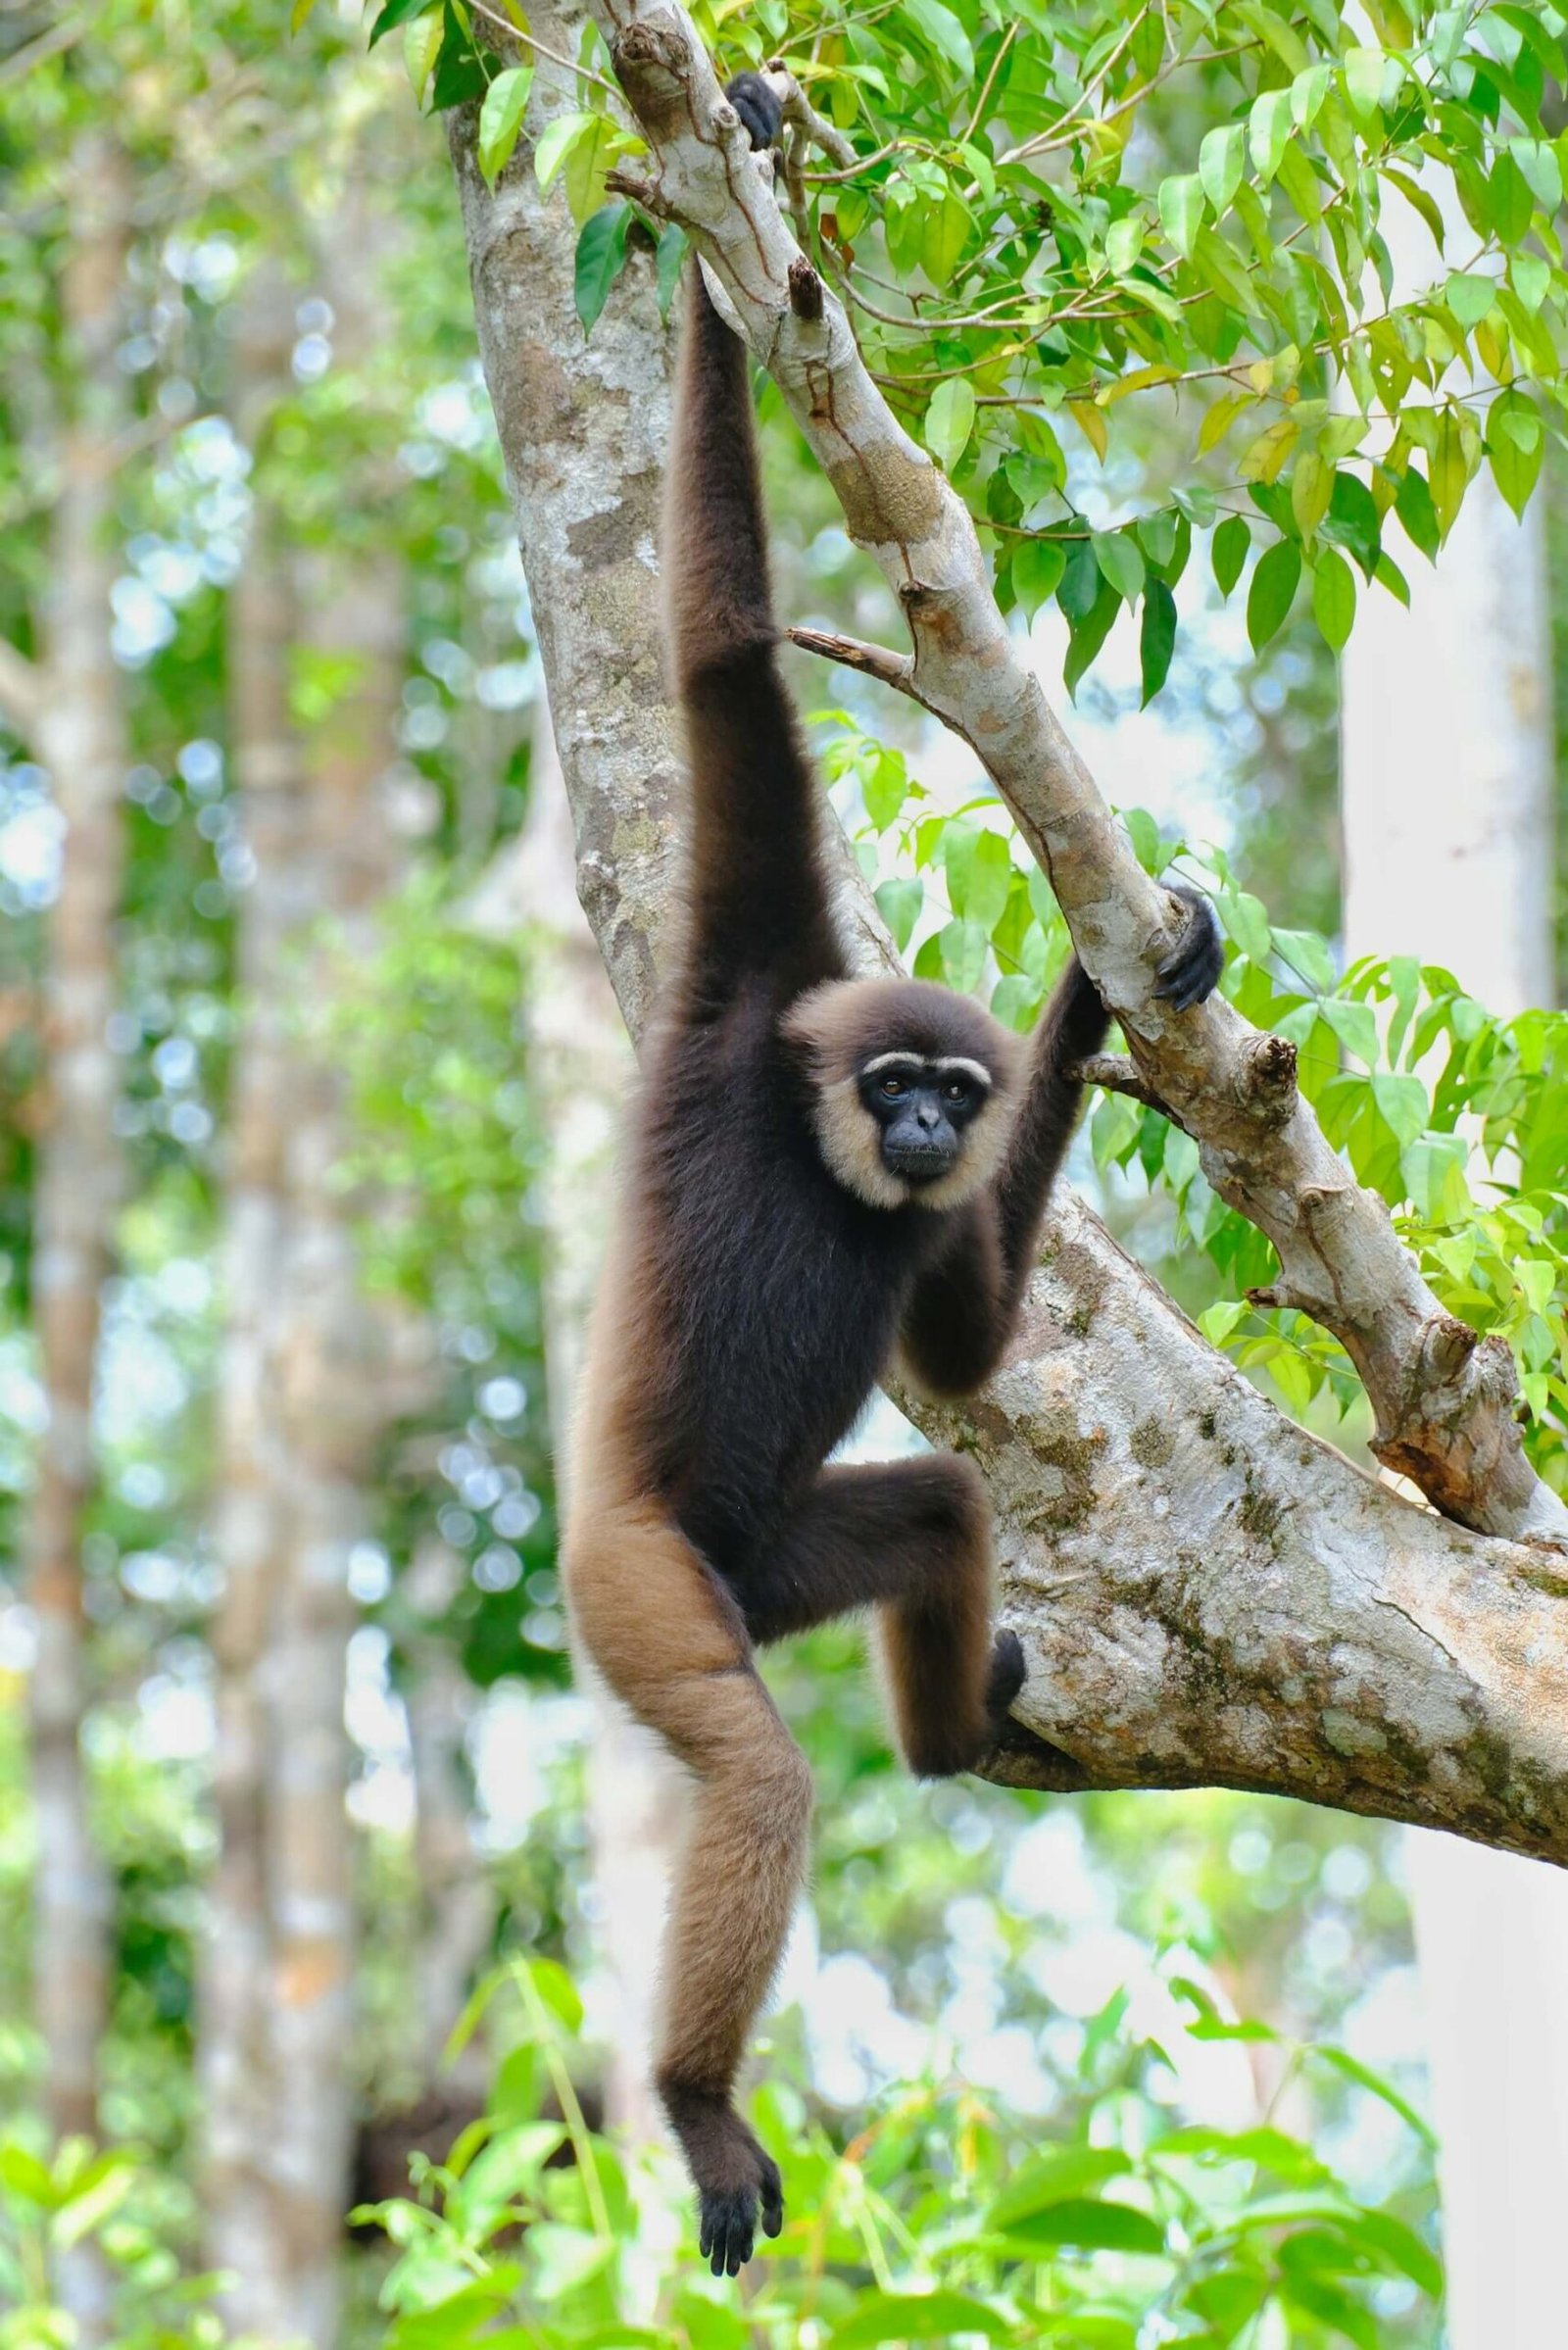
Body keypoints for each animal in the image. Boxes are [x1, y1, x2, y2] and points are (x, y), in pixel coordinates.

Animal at [561, 115, 1224, 2283]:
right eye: (891, 1085)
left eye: (951, 1092)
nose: (931, 1129)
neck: (819, 1157)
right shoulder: (737, 993)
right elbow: (715, 656)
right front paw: (716, 202)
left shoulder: (909, 1208)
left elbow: (962, 1344)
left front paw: (1100, 990)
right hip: (643, 1581)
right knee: (754, 1769)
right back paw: (696, 2096)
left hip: (776, 1559)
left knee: (934, 1499)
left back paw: (949, 1734)